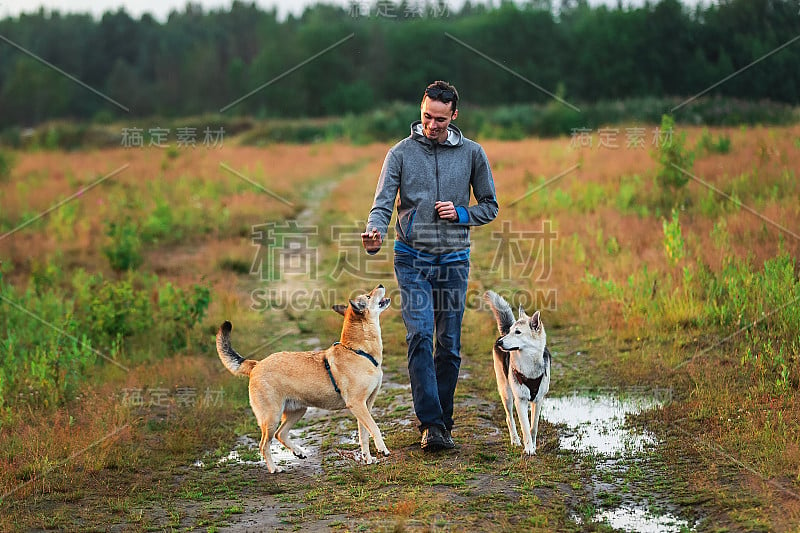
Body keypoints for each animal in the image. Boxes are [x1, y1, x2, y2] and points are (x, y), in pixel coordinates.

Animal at [217, 284, 392, 472]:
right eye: (368, 296)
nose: (380, 285)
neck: (359, 351)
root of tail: (256, 365)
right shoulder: (357, 404)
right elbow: (374, 428)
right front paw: (382, 449)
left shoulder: (366, 405)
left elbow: (364, 435)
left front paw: (368, 459)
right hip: (272, 417)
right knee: (264, 444)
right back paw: (274, 468)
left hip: (297, 411)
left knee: (280, 434)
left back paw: (298, 452)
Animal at [482, 290, 552, 454]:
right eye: (511, 332)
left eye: (518, 332)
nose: (499, 343)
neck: (528, 363)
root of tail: (501, 333)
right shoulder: (520, 400)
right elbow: (525, 427)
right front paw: (528, 448)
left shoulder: (538, 400)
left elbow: (533, 427)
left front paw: (533, 445)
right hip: (506, 393)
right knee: (509, 418)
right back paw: (515, 440)